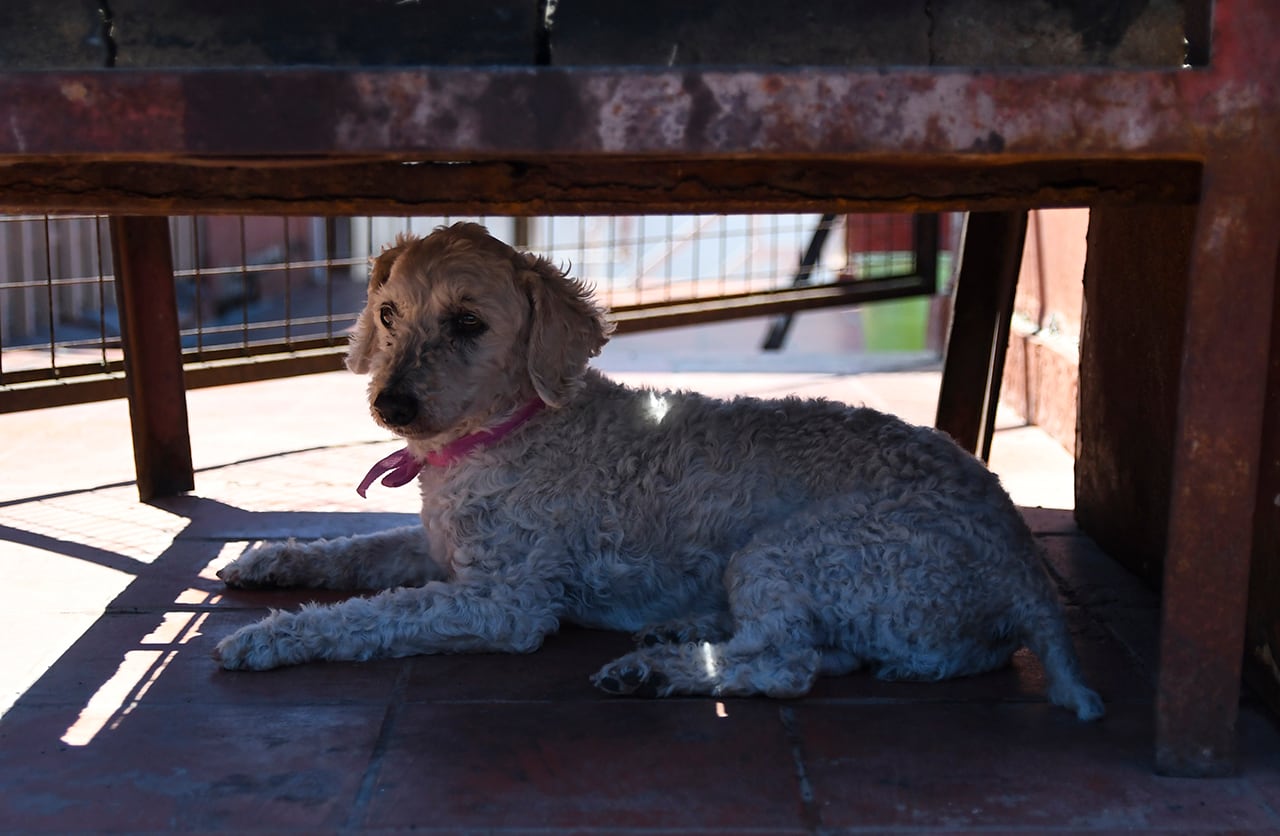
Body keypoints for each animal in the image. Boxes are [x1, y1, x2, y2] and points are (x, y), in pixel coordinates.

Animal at [215, 222, 1105, 722]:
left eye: (469, 323)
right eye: (390, 313)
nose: (391, 403)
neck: (513, 430)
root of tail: (1024, 571)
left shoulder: (503, 601)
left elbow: (371, 615)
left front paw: (269, 637)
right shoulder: (439, 550)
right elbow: (352, 551)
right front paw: (269, 560)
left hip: (797, 550)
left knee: (786, 666)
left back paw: (655, 669)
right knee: (821, 654)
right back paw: (681, 635)